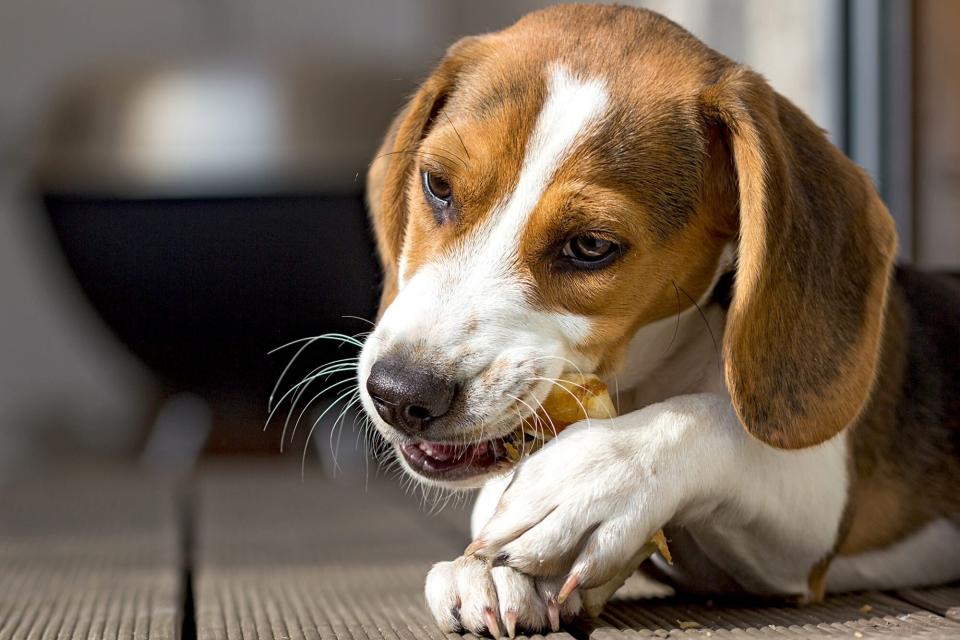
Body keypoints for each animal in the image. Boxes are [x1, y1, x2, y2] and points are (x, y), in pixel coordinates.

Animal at [354, 3, 960, 636]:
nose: (399, 392)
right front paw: (492, 569)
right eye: (437, 186)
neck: (647, 374)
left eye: (591, 245)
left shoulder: (813, 519)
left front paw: (588, 480)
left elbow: (713, 420)